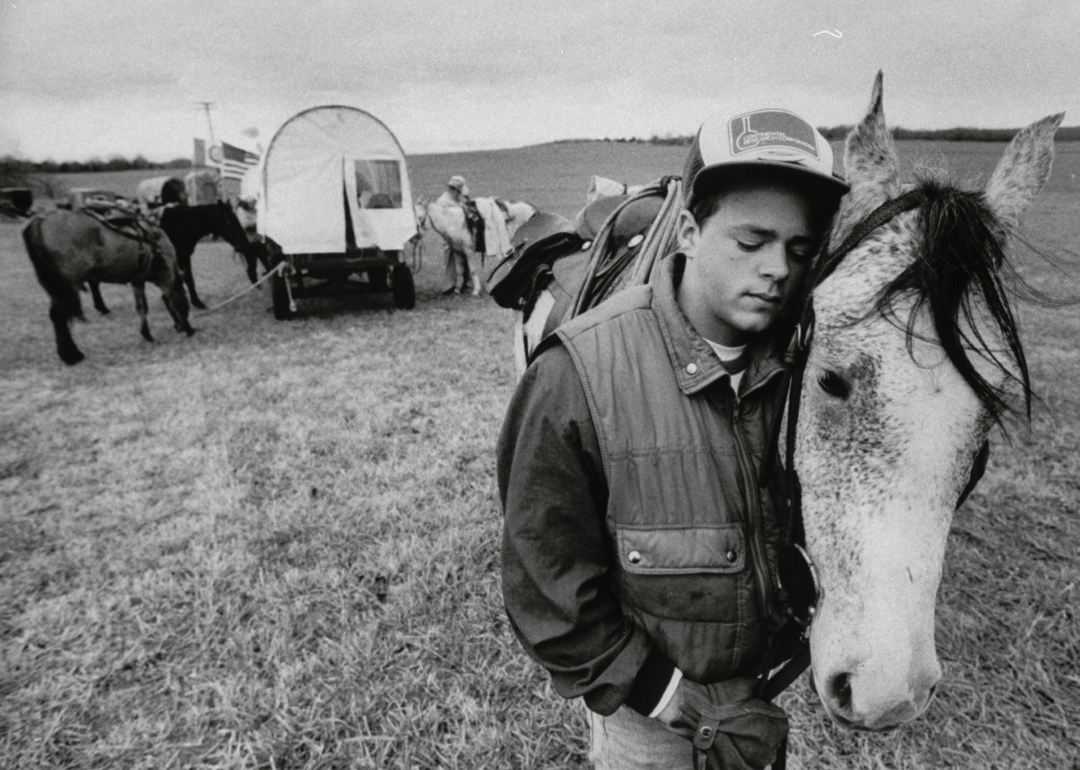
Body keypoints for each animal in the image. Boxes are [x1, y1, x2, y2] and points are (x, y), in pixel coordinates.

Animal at [22, 209, 195, 365]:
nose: (184, 328)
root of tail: (41, 221)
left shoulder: (138, 281)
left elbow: (142, 307)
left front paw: (148, 335)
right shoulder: (164, 277)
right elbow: (170, 301)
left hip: (59, 289)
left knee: (55, 316)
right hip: (66, 287)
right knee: (59, 316)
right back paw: (72, 356)